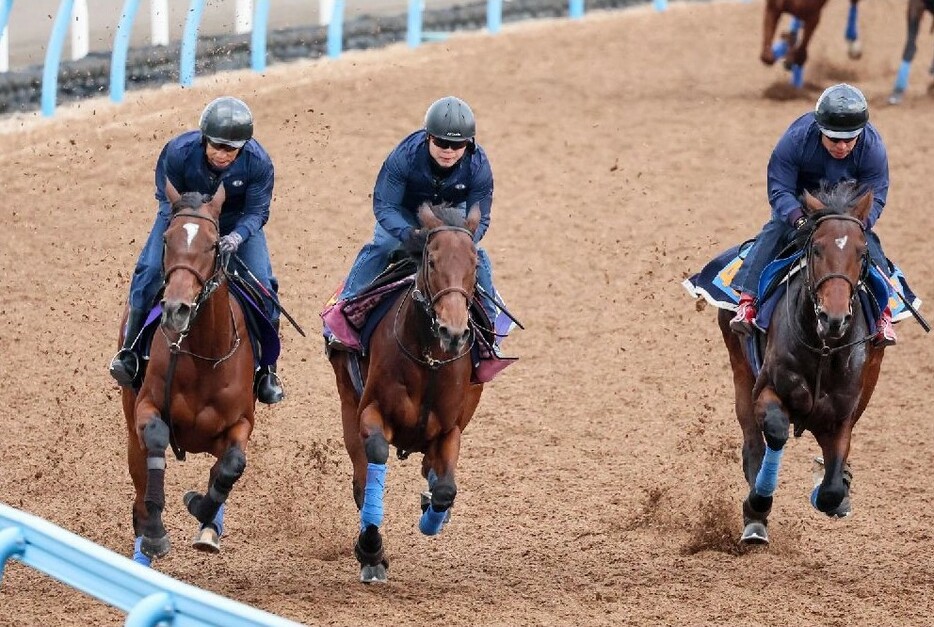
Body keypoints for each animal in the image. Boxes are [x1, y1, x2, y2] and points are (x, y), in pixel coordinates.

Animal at [122, 180, 260, 564]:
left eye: (213, 244)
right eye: (167, 239)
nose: (176, 309)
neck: (204, 356)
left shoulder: (240, 423)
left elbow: (232, 465)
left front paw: (201, 509)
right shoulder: (148, 405)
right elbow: (155, 440)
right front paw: (154, 533)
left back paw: (209, 527)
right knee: (139, 468)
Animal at [330, 201, 486, 584]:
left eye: (474, 265)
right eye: (432, 261)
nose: (453, 331)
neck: (430, 360)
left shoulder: (450, 429)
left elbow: (445, 489)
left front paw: (433, 515)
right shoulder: (371, 410)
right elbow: (374, 461)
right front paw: (371, 552)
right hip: (346, 401)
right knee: (361, 477)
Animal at [720, 183, 888, 544]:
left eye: (861, 252)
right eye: (817, 249)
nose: (833, 318)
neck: (823, 348)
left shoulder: (842, 415)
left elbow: (831, 491)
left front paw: (835, 485)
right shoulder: (767, 388)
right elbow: (776, 430)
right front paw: (757, 504)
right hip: (740, 369)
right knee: (753, 444)